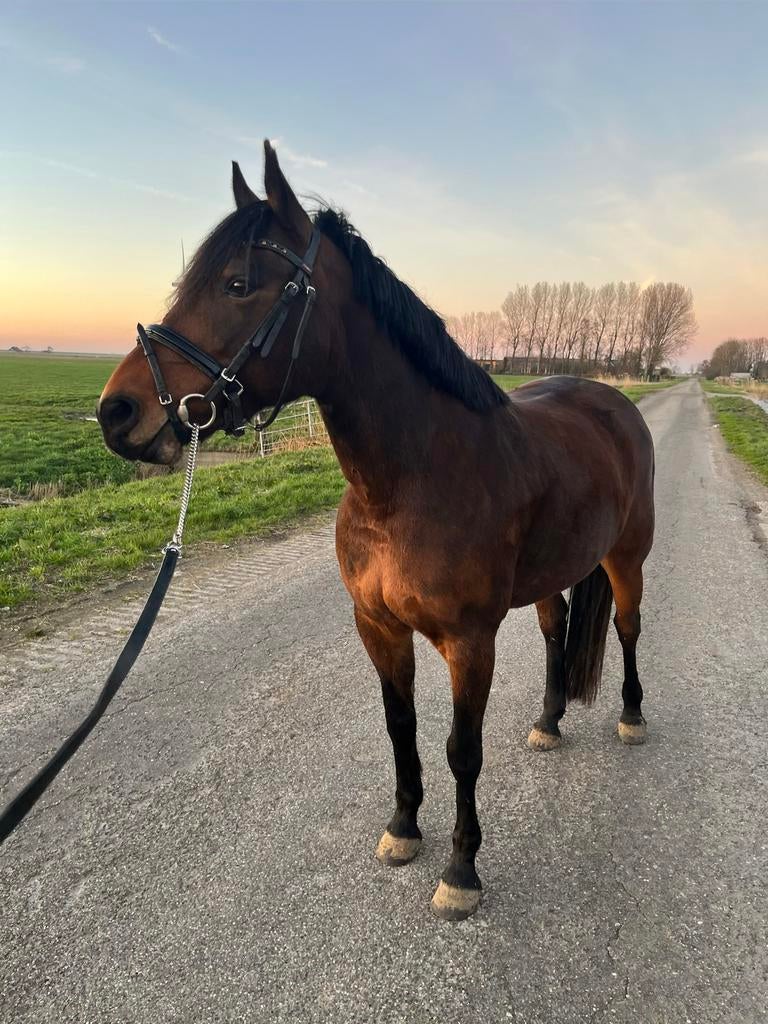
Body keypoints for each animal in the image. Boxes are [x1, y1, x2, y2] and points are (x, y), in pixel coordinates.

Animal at [97, 141, 654, 921]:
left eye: (239, 284)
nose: (116, 412)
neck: (410, 484)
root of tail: (616, 403)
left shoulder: (469, 641)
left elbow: (462, 749)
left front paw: (461, 871)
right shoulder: (378, 626)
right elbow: (401, 728)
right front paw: (403, 829)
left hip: (627, 557)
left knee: (629, 628)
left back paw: (632, 716)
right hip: (557, 571)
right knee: (556, 630)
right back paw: (548, 723)